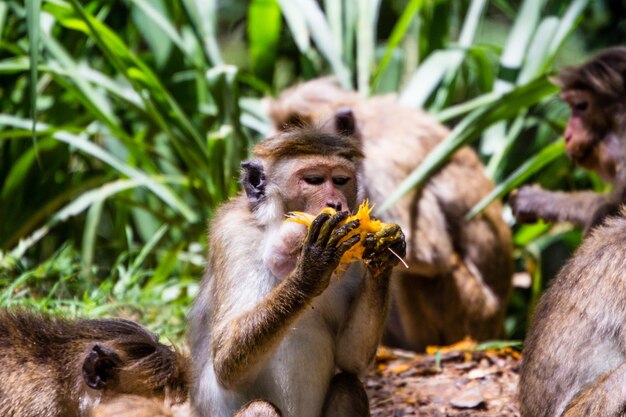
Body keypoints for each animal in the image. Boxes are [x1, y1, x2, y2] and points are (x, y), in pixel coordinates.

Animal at [188, 127, 408, 416]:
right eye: (314, 180)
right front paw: (312, 269)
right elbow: (225, 361)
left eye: (341, 180)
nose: (335, 203)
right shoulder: (233, 235)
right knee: (259, 407)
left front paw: (383, 251)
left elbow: (351, 358)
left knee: (347, 386)